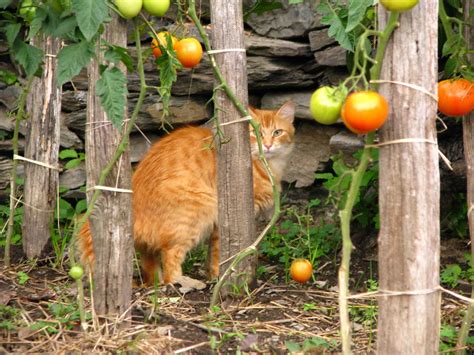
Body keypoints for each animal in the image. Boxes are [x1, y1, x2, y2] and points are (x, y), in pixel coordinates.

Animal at [79, 101, 294, 286]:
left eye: (277, 132)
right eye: (255, 133)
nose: (267, 145)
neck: (267, 165)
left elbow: (212, 255)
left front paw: (212, 275)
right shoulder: (225, 217)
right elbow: (219, 253)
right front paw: (219, 276)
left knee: (150, 267)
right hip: (196, 214)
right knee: (170, 263)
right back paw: (182, 283)